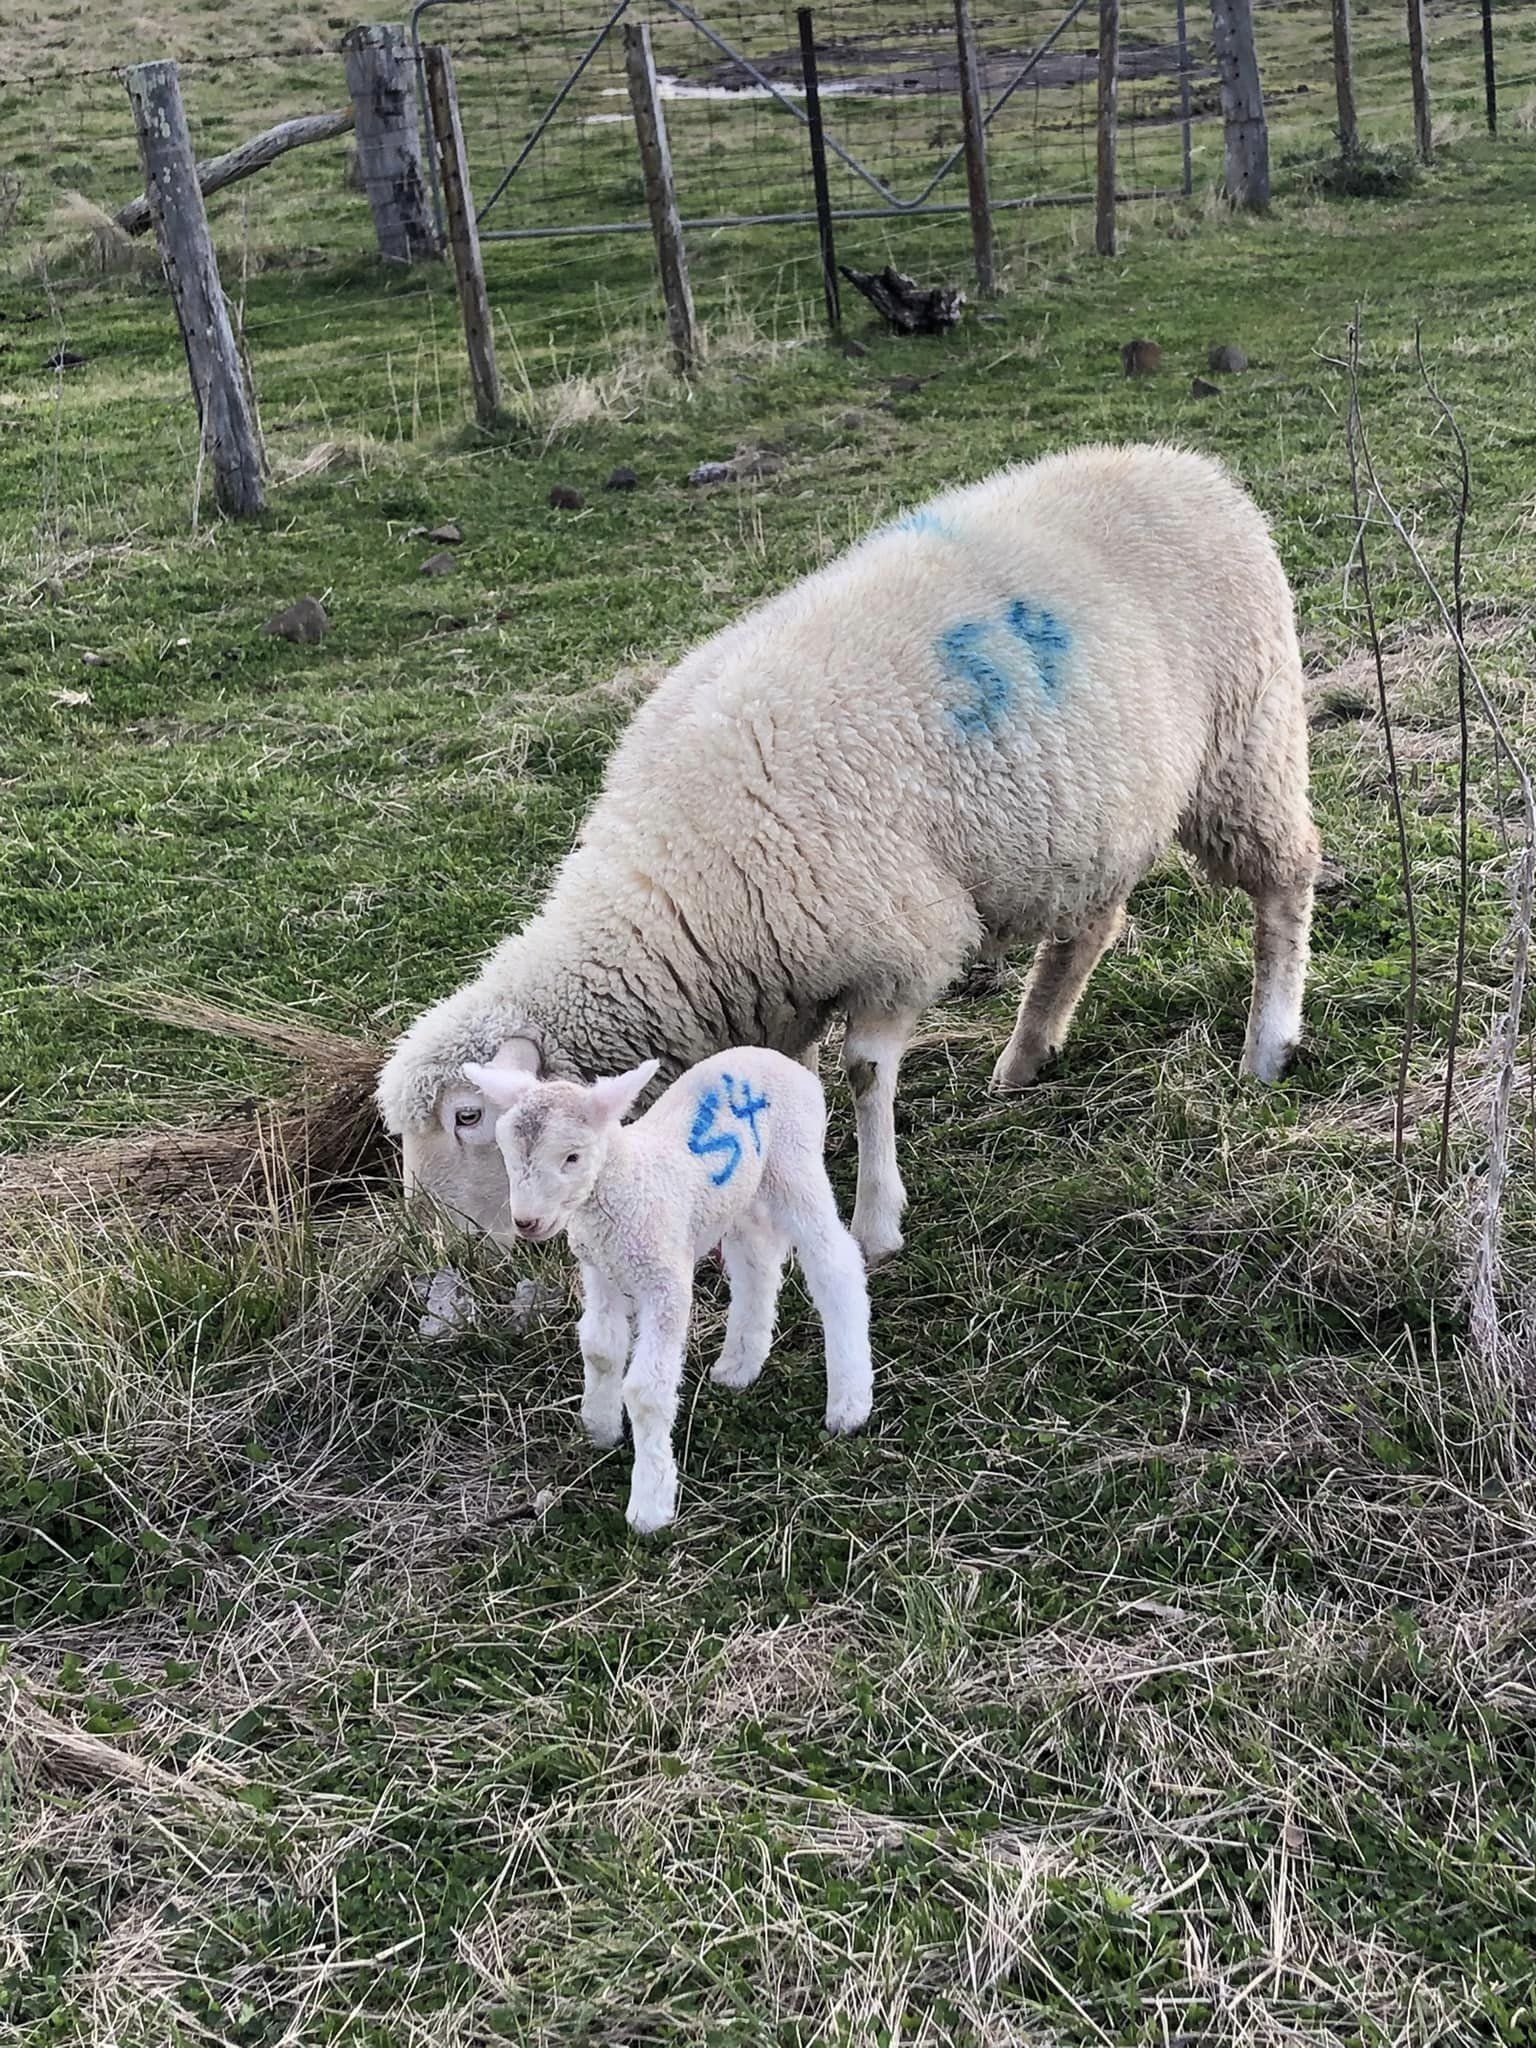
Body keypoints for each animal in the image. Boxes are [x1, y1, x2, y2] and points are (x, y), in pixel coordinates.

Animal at [378, 442, 1319, 1267]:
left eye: (468, 1118)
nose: (455, 1247)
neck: (674, 889)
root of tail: (1189, 467)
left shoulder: (894, 945)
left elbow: (866, 1077)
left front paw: (874, 1223)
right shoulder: (781, 985)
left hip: (1247, 738)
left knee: (1285, 881)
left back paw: (1266, 1046)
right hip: (1090, 819)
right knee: (1089, 929)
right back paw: (1025, 1056)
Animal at [463, 1043, 873, 1532]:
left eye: (572, 1158)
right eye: (506, 1151)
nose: (526, 1222)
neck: (625, 1184)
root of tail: (779, 1059)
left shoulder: (665, 1281)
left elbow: (646, 1390)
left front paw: (650, 1501)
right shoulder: (600, 1271)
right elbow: (599, 1349)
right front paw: (599, 1427)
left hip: (794, 1161)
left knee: (835, 1264)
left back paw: (849, 1403)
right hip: (739, 1192)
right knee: (756, 1263)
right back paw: (740, 1364)